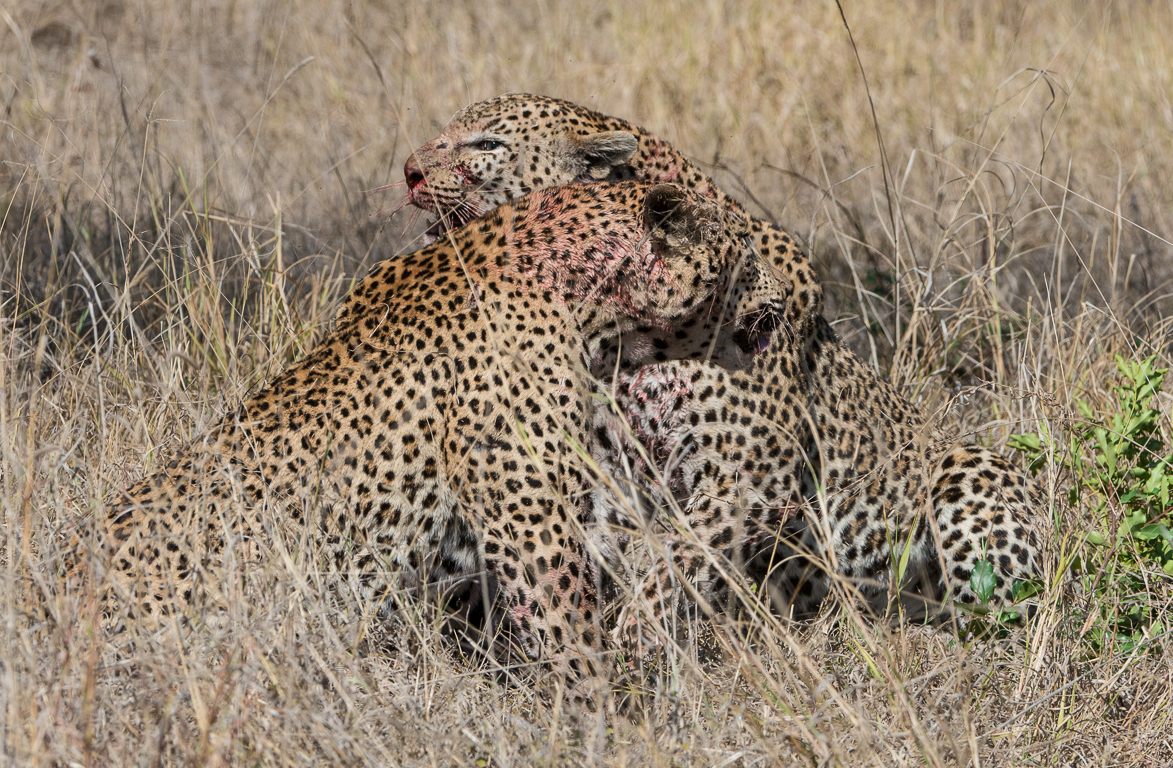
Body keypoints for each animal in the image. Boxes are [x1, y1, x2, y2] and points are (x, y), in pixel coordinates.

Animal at [398, 90, 1041, 656]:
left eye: (487, 143)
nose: (409, 172)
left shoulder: (756, 470)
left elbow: (682, 555)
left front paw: (639, 636)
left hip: (968, 468)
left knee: (1006, 617)